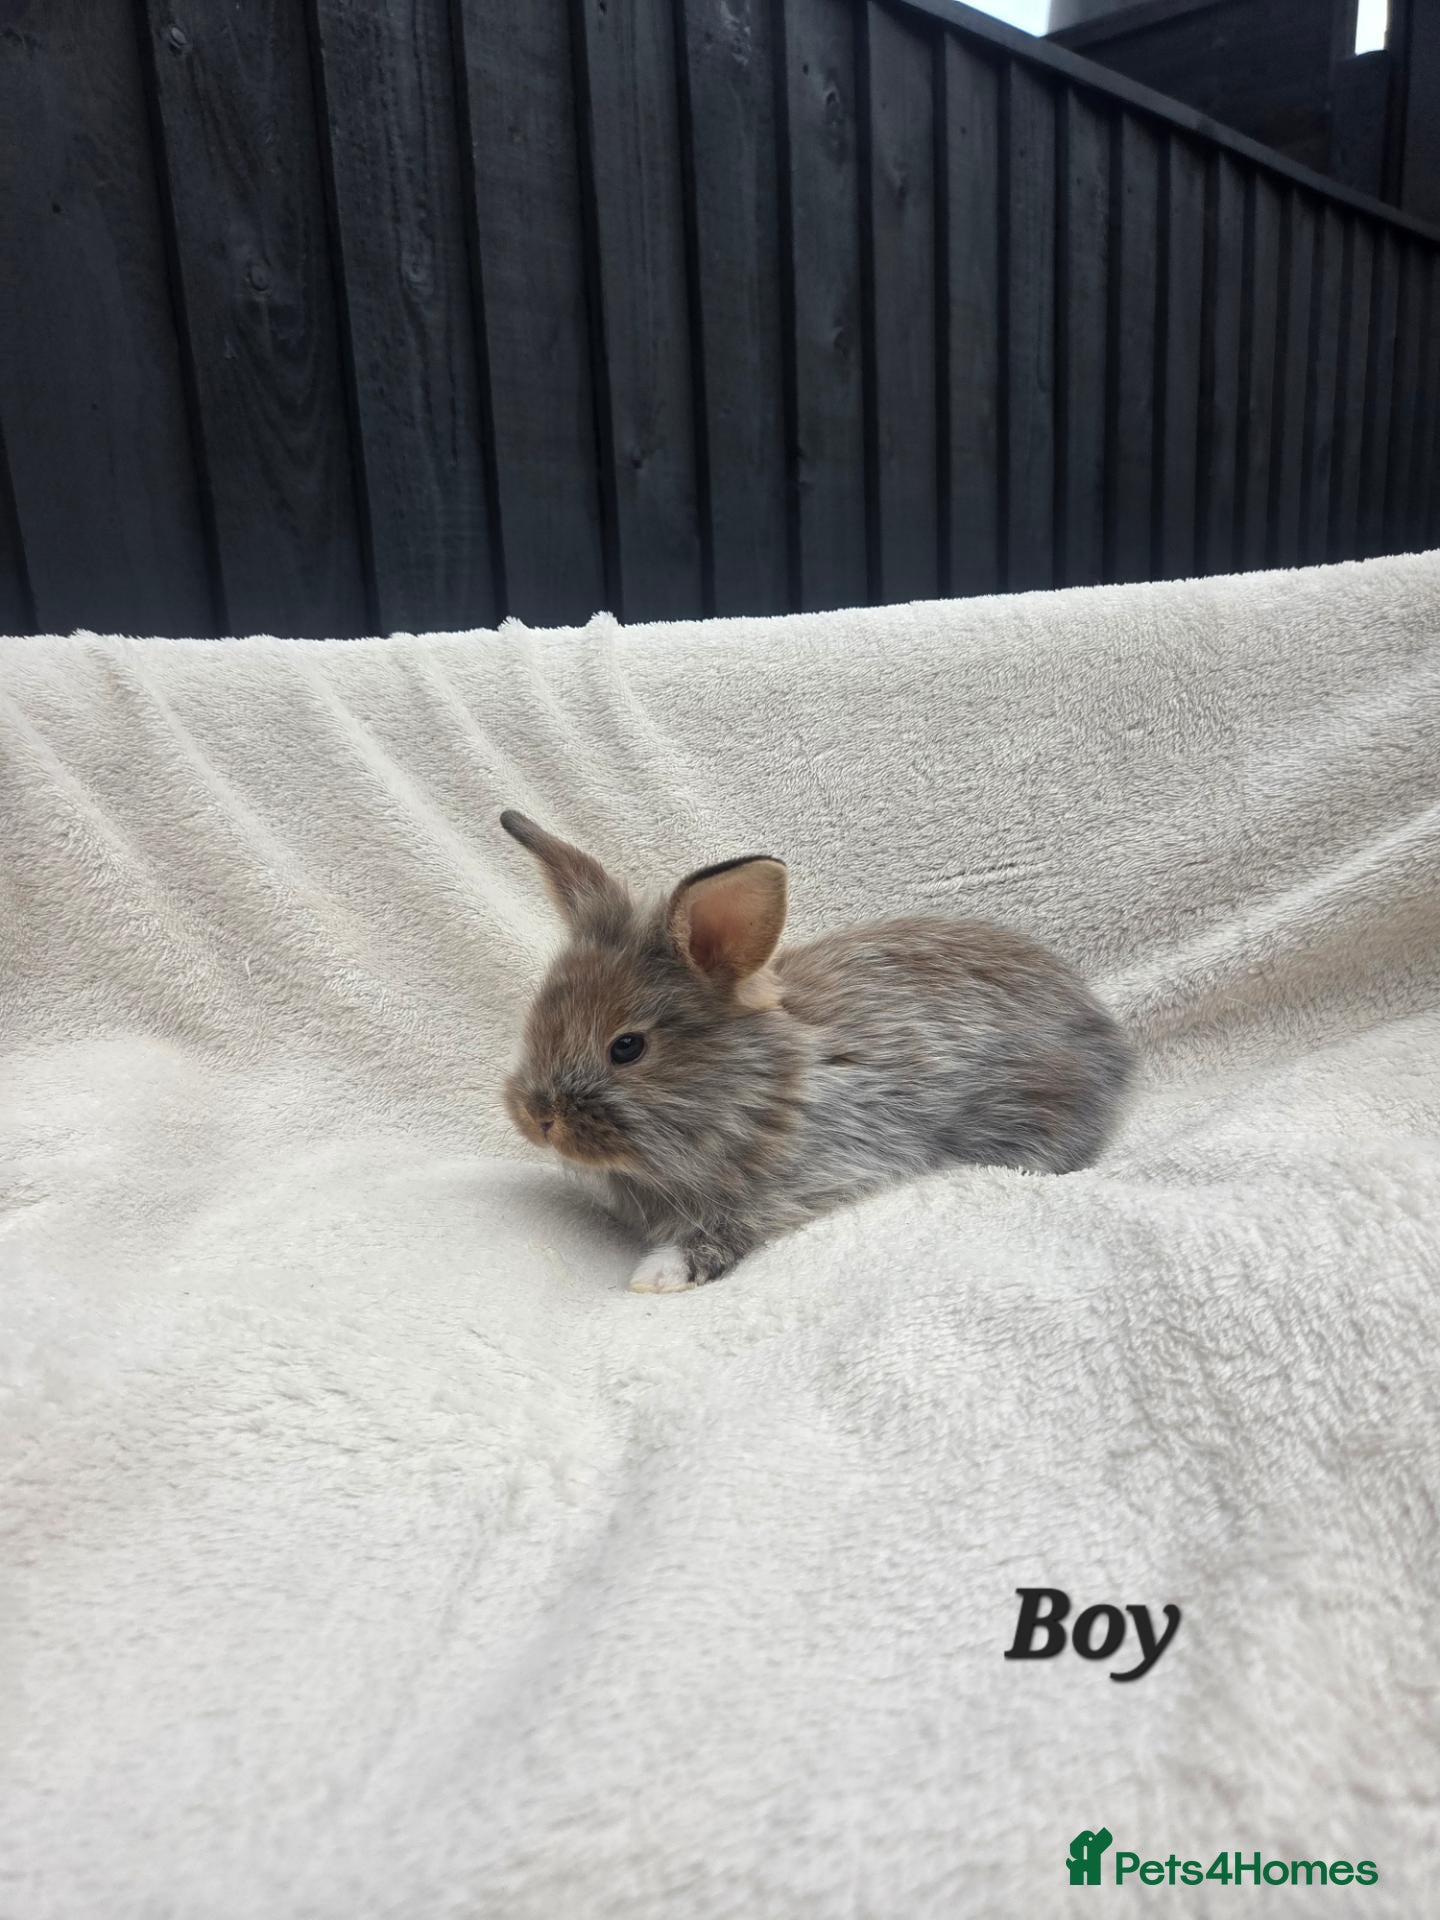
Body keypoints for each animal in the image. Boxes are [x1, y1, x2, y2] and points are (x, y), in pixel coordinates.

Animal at [500, 810, 1133, 1293]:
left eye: (627, 1047)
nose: (538, 1118)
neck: (759, 1092)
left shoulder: (808, 1177)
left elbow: (730, 1228)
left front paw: (658, 1275)